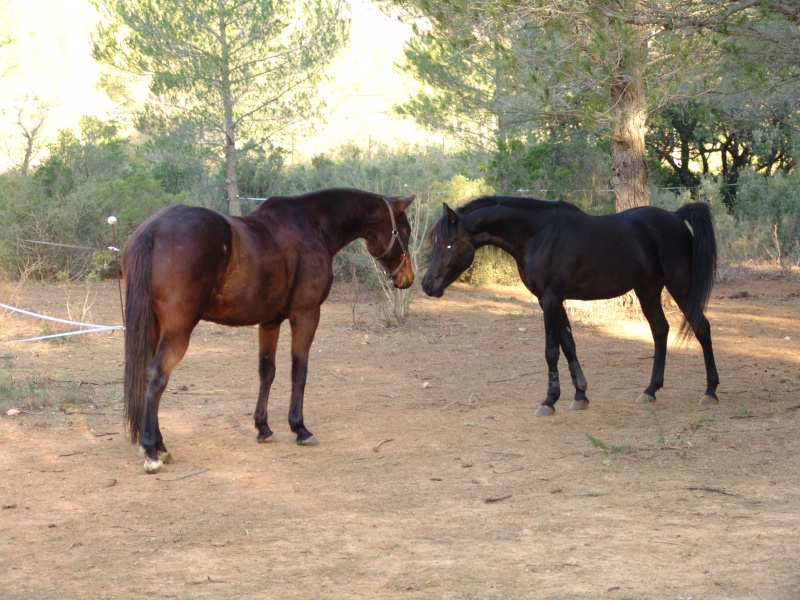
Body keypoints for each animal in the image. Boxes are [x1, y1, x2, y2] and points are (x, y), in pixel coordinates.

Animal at [123, 189, 418, 474]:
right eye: (405, 231)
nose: (408, 278)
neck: (312, 225)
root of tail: (154, 228)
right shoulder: (306, 316)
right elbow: (299, 371)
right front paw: (299, 428)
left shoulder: (270, 322)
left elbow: (267, 371)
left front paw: (263, 427)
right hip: (178, 330)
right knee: (157, 376)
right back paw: (151, 451)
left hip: (154, 328)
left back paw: (160, 446)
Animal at [422, 198, 720, 418]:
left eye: (448, 243)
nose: (427, 285)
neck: (538, 234)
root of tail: (676, 216)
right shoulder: (551, 300)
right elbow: (568, 345)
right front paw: (580, 395)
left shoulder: (551, 299)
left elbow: (551, 351)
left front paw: (549, 400)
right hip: (647, 289)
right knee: (660, 330)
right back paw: (650, 390)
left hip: (680, 286)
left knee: (702, 328)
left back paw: (710, 391)